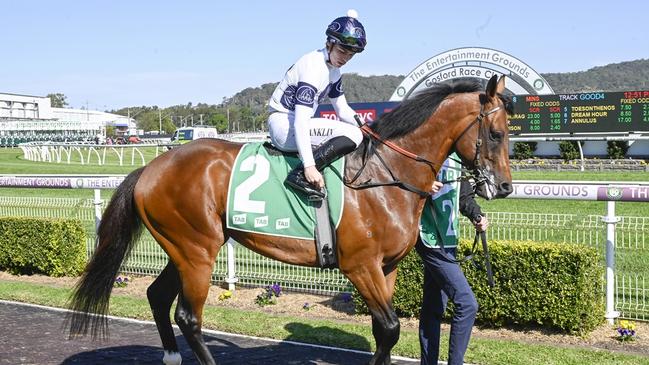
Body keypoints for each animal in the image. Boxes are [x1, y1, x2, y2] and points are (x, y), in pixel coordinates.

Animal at [69, 74, 512, 364]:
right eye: (495, 133)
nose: (504, 187)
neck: (383, 175)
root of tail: (151, 168)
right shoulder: (360, 266)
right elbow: (389, 329)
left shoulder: (386, 268)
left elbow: (382, 333)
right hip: (196, 251)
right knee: (188, 317)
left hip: (184, 248)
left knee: (158, 297)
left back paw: (171, 357)